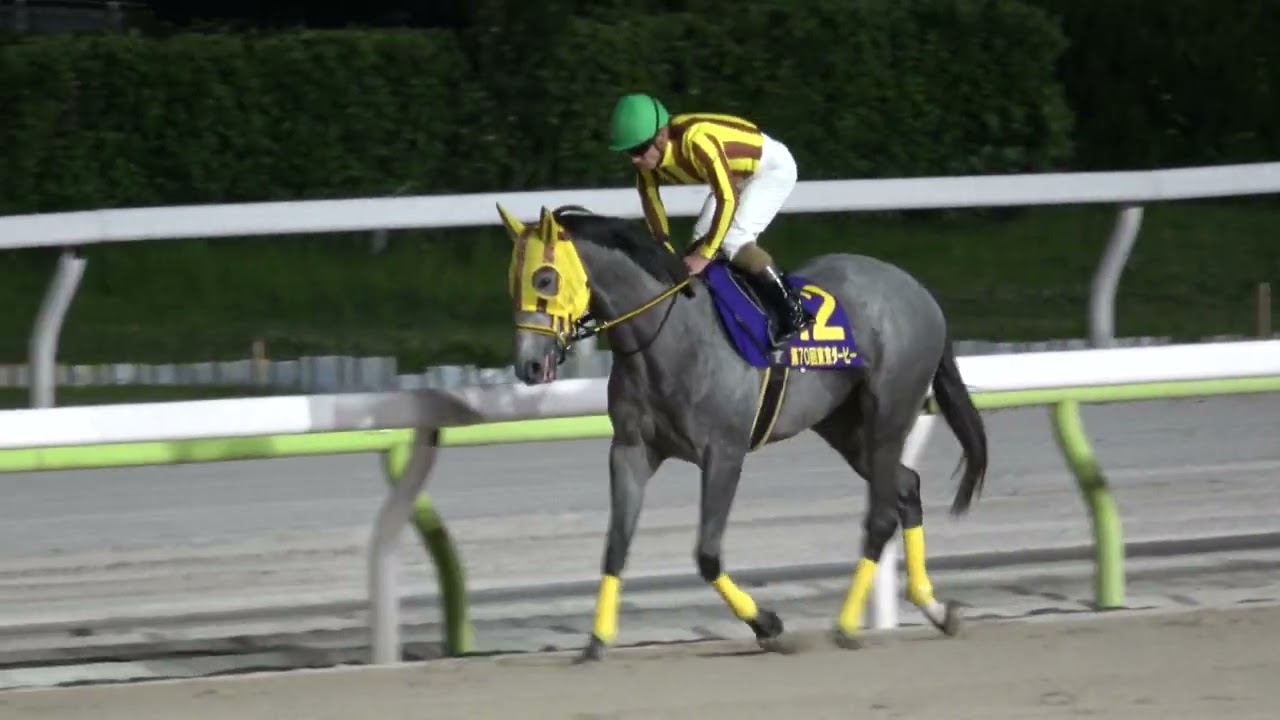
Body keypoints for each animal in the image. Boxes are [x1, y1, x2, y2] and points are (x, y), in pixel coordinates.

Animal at [495, 202, 989, 662]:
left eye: (544, 278)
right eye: (513, 281)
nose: (529, 365)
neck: (667, 336)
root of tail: (921, 293)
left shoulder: (724, 453)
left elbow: (707, 554)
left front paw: (768, 625)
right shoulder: (632, 450)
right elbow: (616, 545)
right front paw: (596, 640)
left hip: (888, 412)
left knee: (884, 512)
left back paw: (847, 625)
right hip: (845, 426)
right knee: (907, 486)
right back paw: (936, 609)